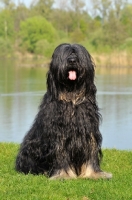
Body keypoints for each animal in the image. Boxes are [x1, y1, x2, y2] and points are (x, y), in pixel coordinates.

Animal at [15, 43, 112, 180]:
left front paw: (94, 174)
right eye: (66, 54)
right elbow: (60, 153)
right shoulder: (58, 132)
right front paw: (63, 175)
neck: (71, 97)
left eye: (76, 54)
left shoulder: (89, 130)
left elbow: (91, 153)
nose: (72, 60)